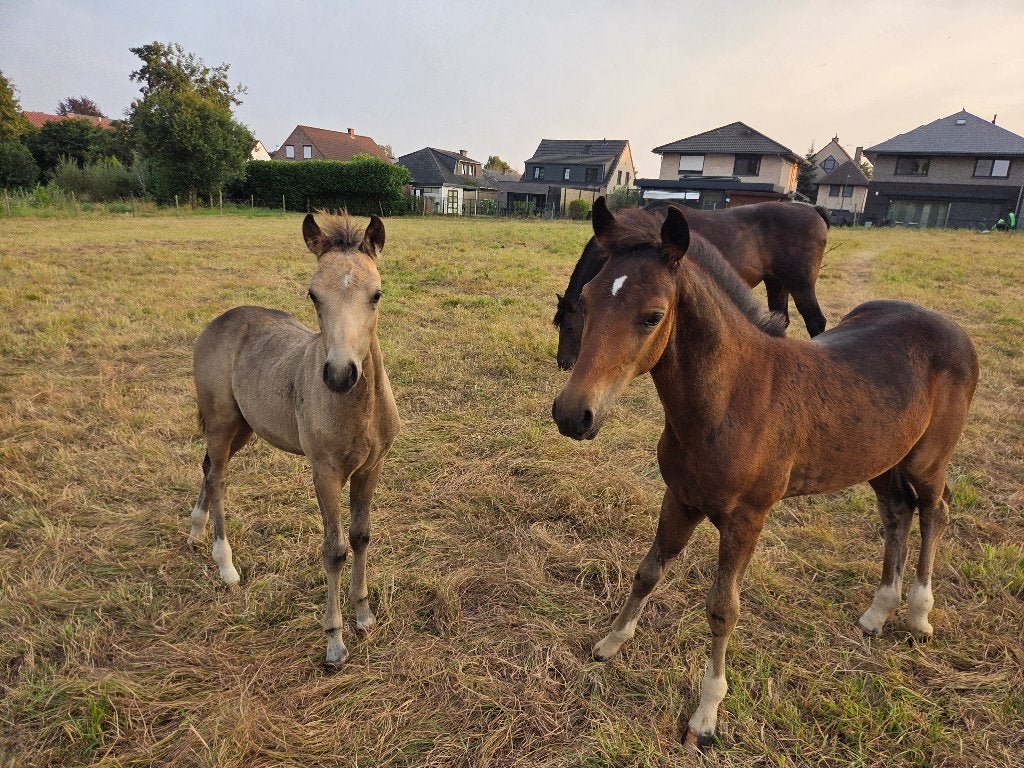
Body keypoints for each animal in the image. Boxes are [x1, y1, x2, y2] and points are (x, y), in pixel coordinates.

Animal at [189, 212, 400, 667]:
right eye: (313, 295)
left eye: (376, 295)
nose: (339, 374)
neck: (359, 410)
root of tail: (221, 319)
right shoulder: (325, 472)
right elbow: (334, 549)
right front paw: (334, 643)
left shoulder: (371, 467)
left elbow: (361, 536)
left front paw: (363, 616)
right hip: (220, 422)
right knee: (218, 479)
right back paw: (225, 565)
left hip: (244, 427)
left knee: (207, 467)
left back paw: (195, 529)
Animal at [553, 200, 830, 370]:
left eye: (569, 327)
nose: (563, 363)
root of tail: (815, 210)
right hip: (777, 283)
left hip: (801, 285)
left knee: (816, 322)